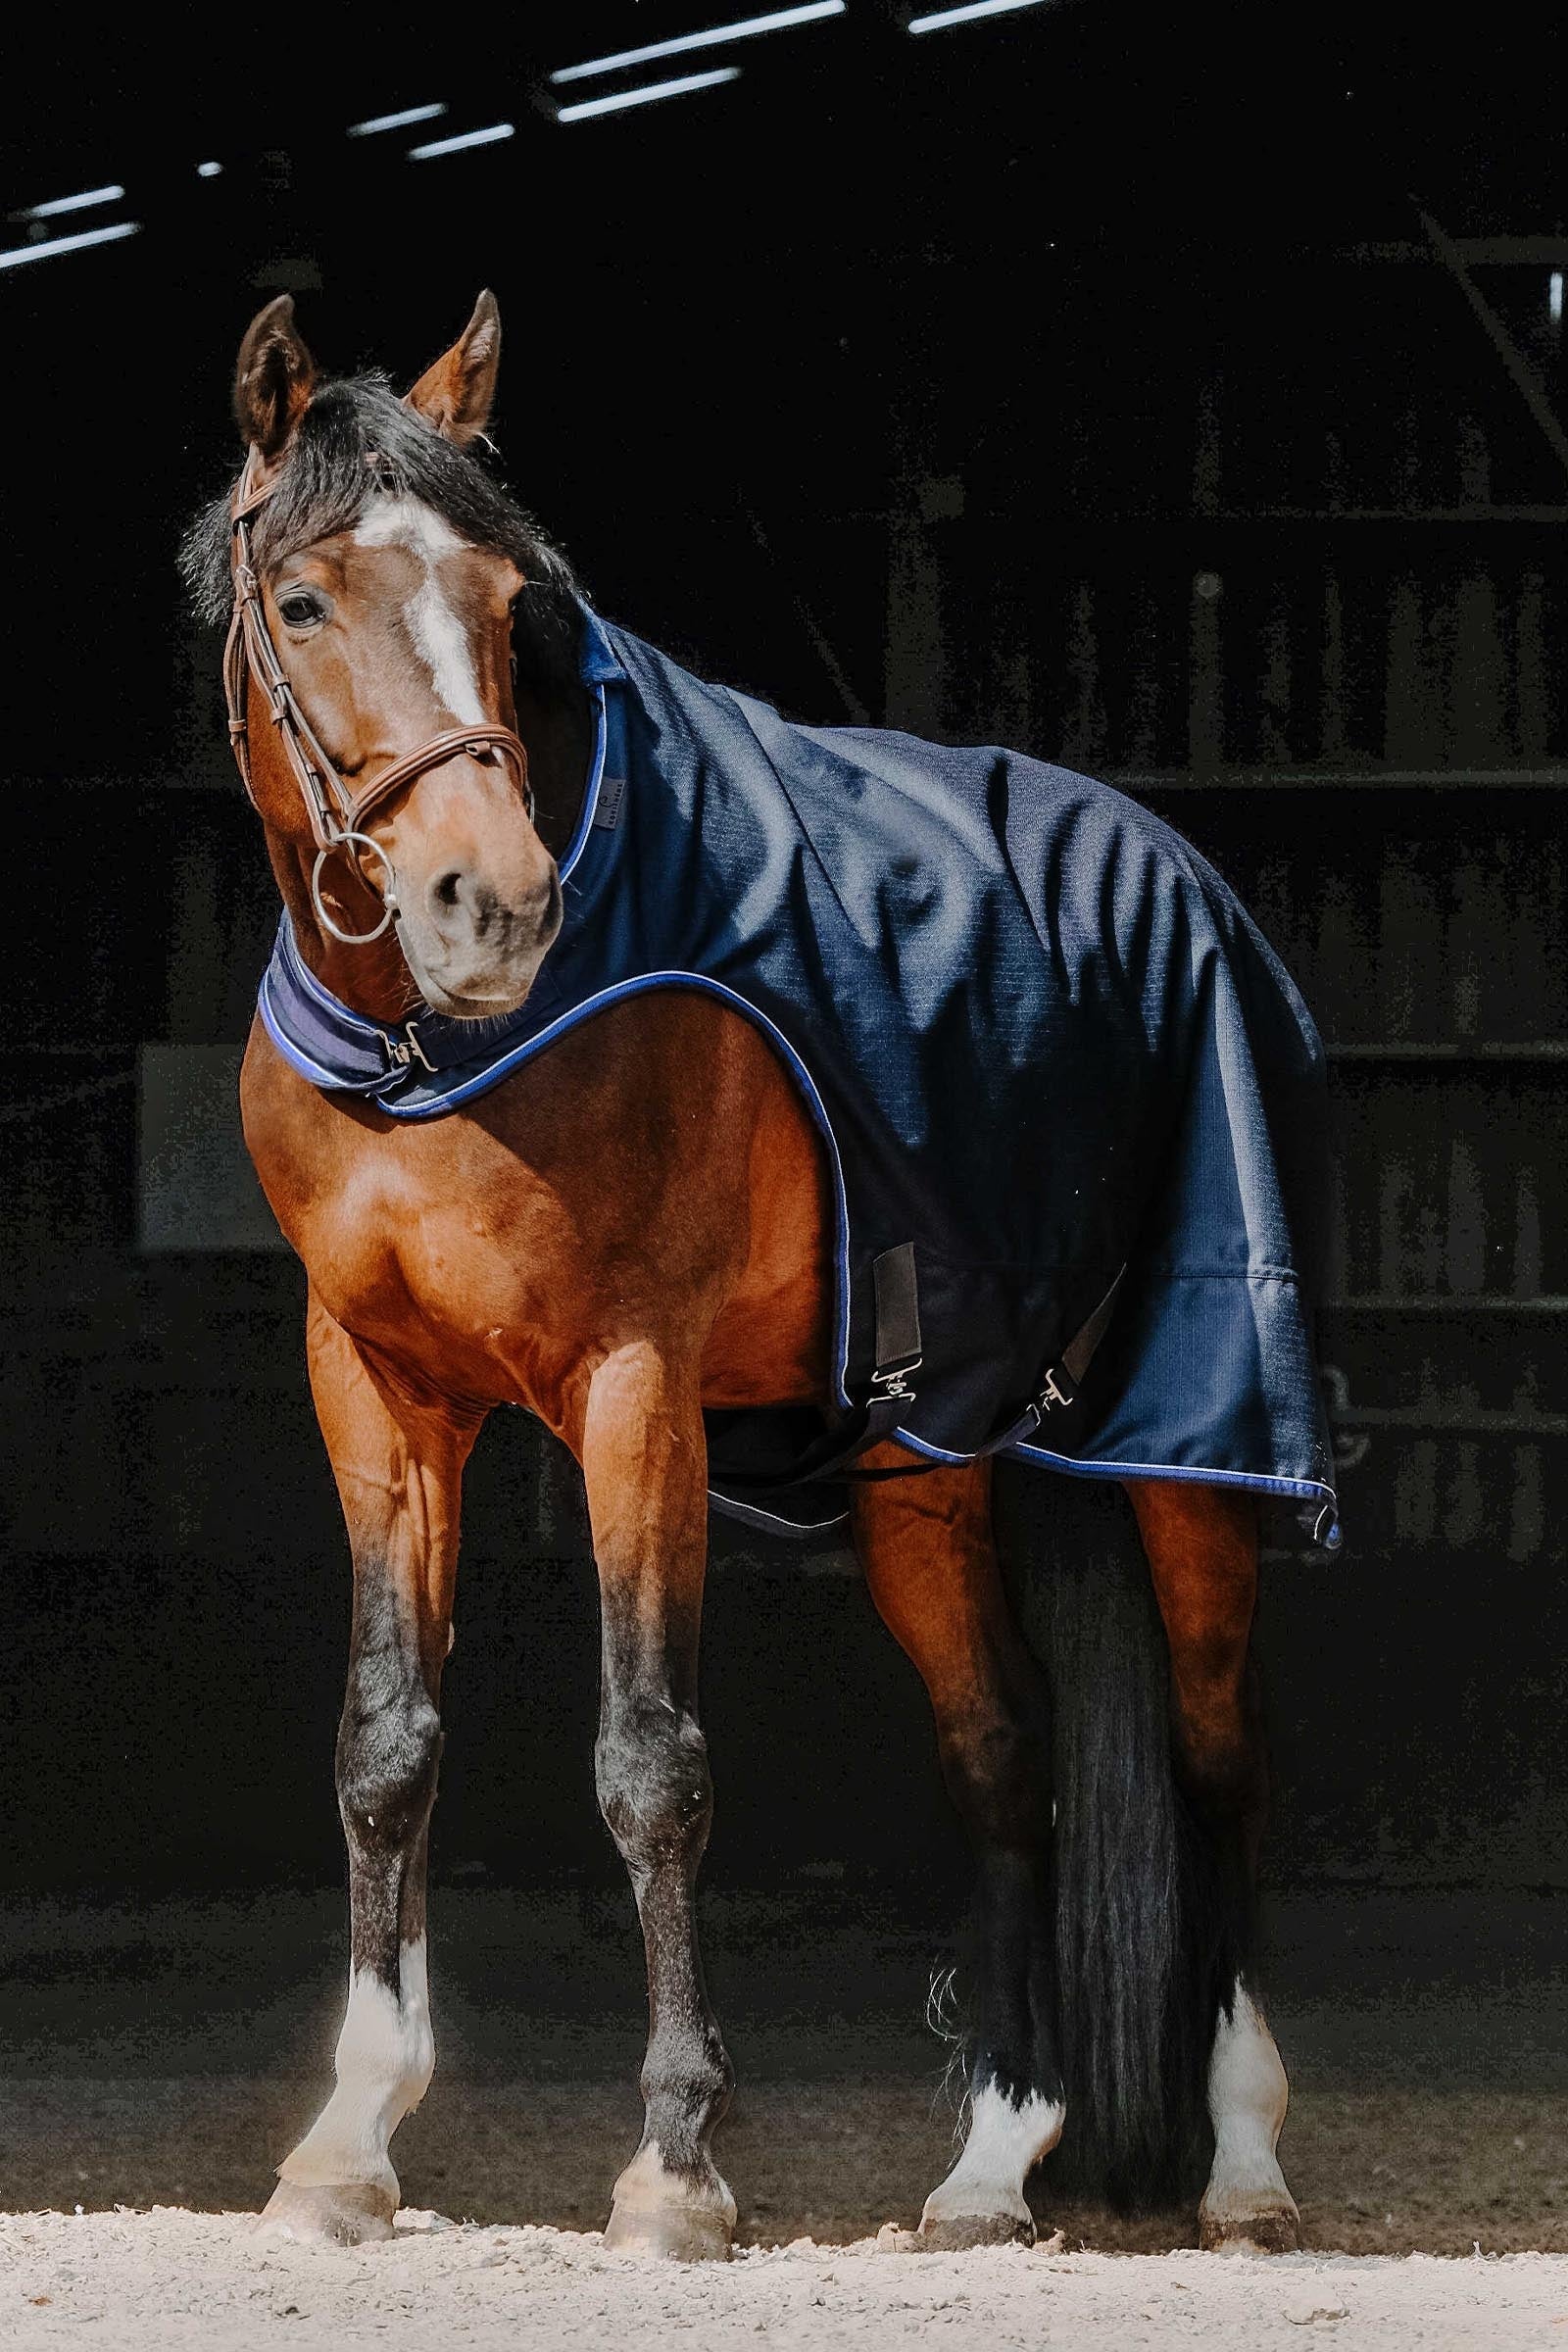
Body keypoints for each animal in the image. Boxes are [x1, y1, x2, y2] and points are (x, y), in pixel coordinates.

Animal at [181, 288, 1318, 2261]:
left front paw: (677, 2164)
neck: (431, 1050)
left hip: (1195, 1451)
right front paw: (346, 2144)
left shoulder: (637, 1388)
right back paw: (989, 2168)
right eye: (305, 602)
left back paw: (1244, 2163)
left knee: (1216, 1756)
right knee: (1004, 1759)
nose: (495, 906)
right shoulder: (378, 1389)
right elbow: (386, 1741)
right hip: (927, 1469)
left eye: (504, 604)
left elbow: (652, 1764)